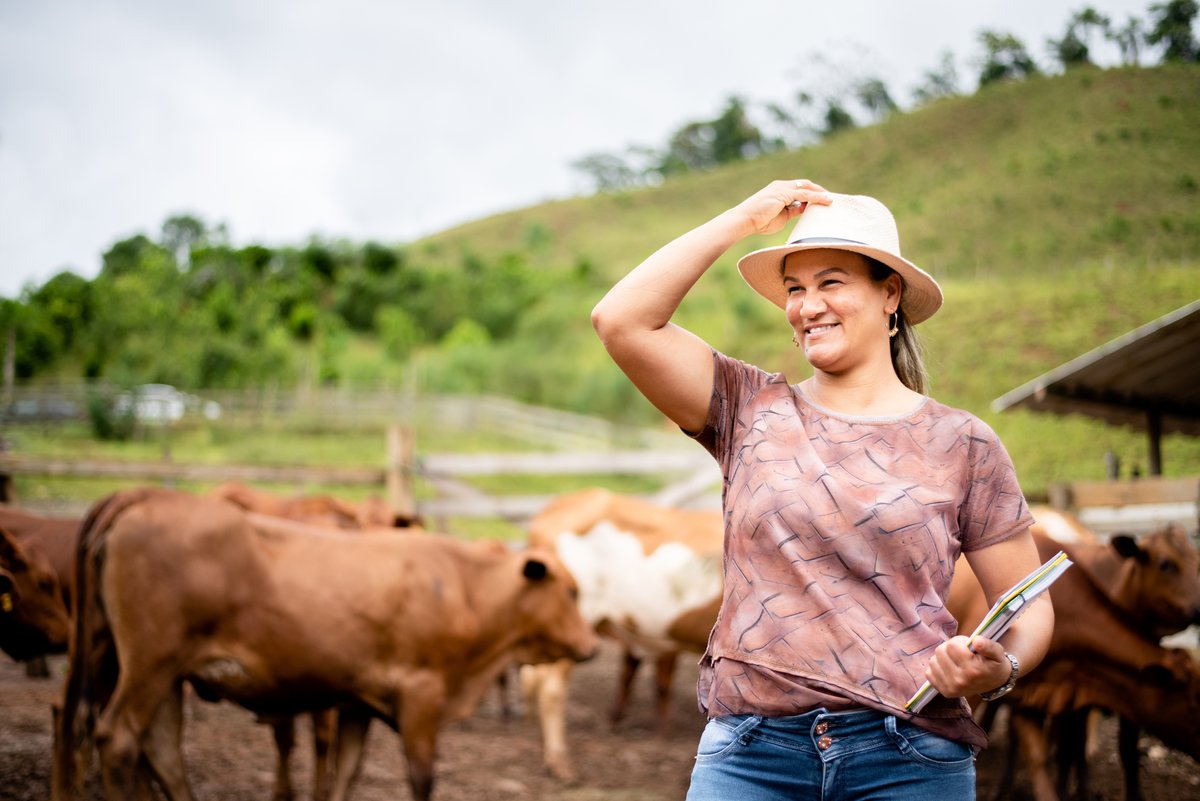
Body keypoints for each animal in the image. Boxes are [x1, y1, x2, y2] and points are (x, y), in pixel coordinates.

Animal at [56, 484, 595, 801]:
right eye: (571, 591)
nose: (590, 646)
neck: (462, 585)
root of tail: (145, 499)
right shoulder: (421, 696)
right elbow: (421, 778)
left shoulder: (358, 701)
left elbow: (346, 775)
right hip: (149, 664)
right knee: (118, 739)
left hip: (143, 666)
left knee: (159, 750)